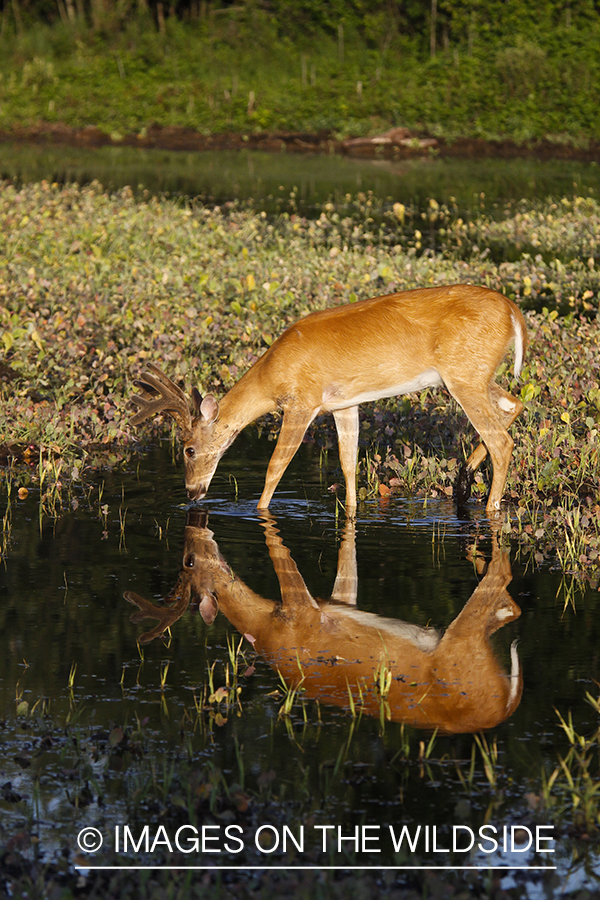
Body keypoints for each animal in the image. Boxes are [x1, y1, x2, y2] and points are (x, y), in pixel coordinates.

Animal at [125, 512, 520, 732]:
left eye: (189, 562)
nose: (195, 531)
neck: (267, 626)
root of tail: (506, 706)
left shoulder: (304, 610)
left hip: (462, 645)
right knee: (509, 610)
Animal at [130, 284, 524, 516]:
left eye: (188, 449)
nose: (191, 492)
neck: (272, 376)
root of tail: (513, 313)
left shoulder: (301, 402)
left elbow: (276, 466)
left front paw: (259, 511)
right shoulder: (344, 404)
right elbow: (348, 464)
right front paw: (350, 510)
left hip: (463, 374)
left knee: (502, 441)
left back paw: (488, 507)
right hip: (474, 374)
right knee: (515, 403)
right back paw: (463, 480)